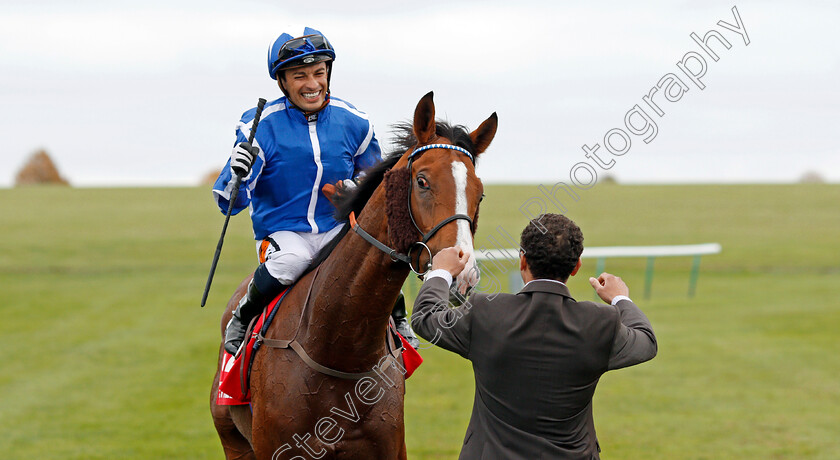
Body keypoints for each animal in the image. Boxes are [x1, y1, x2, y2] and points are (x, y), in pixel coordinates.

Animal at [212, 91, 498, 458]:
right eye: (422, 181)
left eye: (480, 192)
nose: (462, 270)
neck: (341, 351)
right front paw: (242, 162)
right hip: (233, 441)